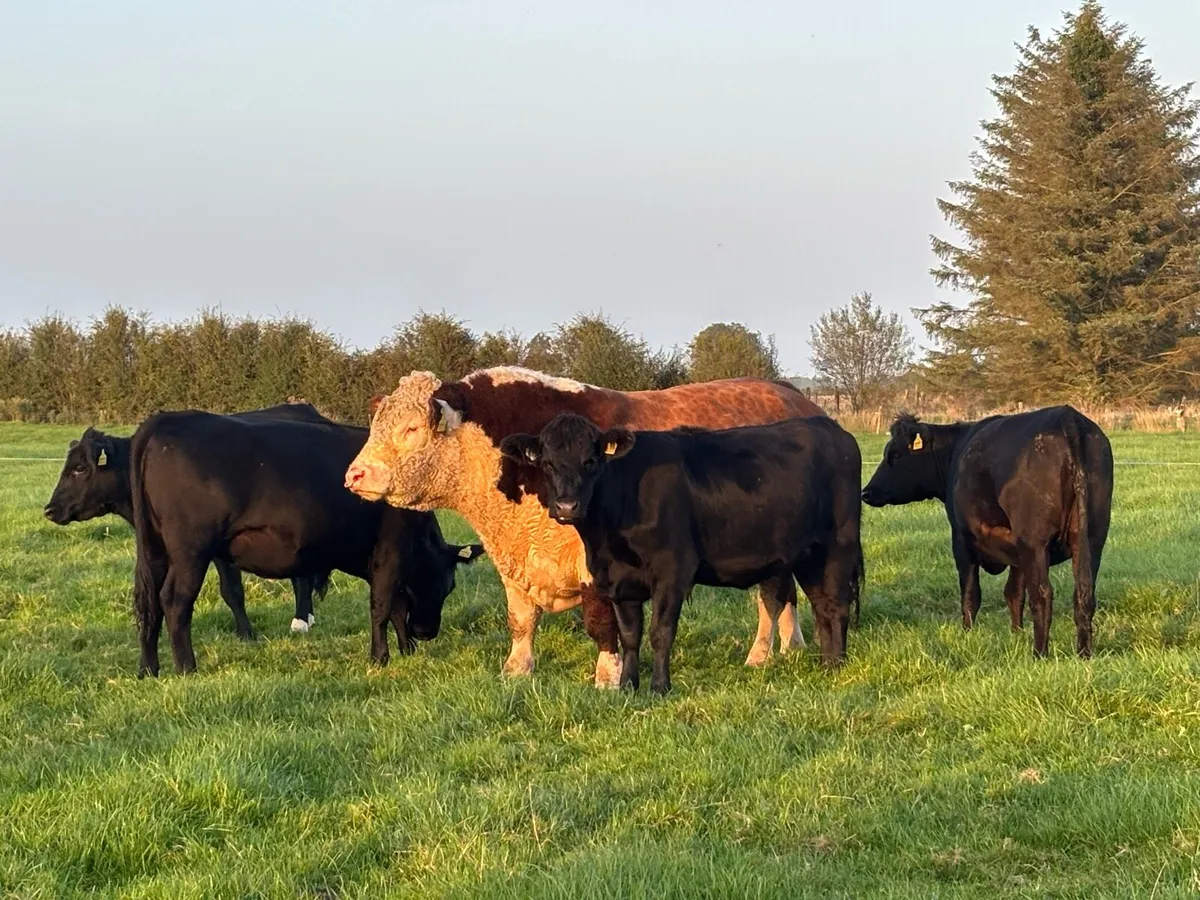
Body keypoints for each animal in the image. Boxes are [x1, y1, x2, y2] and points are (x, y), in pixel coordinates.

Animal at [43, 404, 337, 636]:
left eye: (80, 468)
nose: (49, 509)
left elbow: (232, 590)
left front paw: (246, 633)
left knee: (303, 577)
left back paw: (300, 621)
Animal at [128, 409, 484, 677]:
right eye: (447, 584)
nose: (426, 632)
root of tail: (168, 419)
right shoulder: (391, 550)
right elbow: (382, 605)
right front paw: (380, 657)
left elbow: (395, 604)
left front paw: (406, 649)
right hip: (191, 550)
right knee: (175, 601)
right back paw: (187, 667)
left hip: (155, 549)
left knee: (149, 603)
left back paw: (149, 668)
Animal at [343, 366, 826, 687]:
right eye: (376, 426)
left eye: (410, 429)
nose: (355, 474)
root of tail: (788, 392)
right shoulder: (514, 559)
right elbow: (521, 620)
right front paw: (516, 669)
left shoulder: (596, 565)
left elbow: (601, 624)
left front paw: (608, 677)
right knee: (783, 591)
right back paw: (791, 644)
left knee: (770, 597)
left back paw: (759, 654)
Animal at [497, 413, 863, 693]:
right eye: (547, 464)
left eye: (591, 461)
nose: (566, 507)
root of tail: (829, 426)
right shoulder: (620, 580)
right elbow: (630, 635)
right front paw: (627, 685)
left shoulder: (672, 570)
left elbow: (661, 632)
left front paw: (660, 687)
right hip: (808, 556)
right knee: (821, 605)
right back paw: (827, 662)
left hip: (838, 547)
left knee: (836, 605)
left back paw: (837, 665)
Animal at [860, 406, 1113, 658]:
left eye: (896, 455)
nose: (866, 492)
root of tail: (1067, 416)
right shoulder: (1016, 549)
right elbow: (1014, 592)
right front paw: (1016, 633)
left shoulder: (961, 538)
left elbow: (971, 594)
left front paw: (967, 634)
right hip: (1091, 540)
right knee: (1084, 593)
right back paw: (1084, 654)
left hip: (1035, 543)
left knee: (1042, 594)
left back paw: (1039, 653)